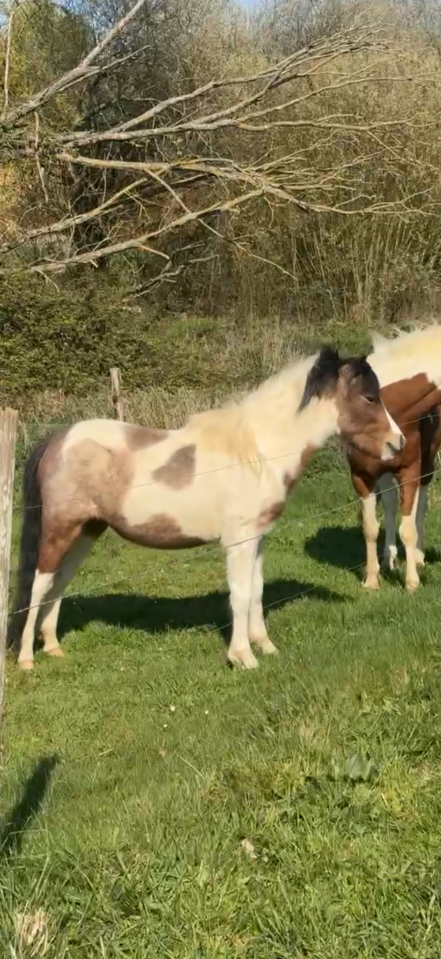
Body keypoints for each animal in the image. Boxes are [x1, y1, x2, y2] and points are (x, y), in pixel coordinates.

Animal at [8, 346, 403, 671]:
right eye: (370, 397)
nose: (397, 443)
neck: (257, 452)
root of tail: (57, 439)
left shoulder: (258, 538)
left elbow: (256, 589)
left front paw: (265, 646)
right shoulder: (238, 541)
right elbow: (239, 594)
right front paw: (243, 657)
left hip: (86, 531)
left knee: (59, 582)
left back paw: (53, 648)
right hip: (60, 529)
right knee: (39, 585)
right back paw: (27, 658)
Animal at [346, 325, 441, 591]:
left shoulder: (409, 470)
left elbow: (407, 528)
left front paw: (411, 582)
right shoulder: (362, 476)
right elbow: (370, 528)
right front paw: (371, 580)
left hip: (426, 462)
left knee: (420, 501)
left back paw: (417, 557)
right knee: (389, 503)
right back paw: (389, 559)